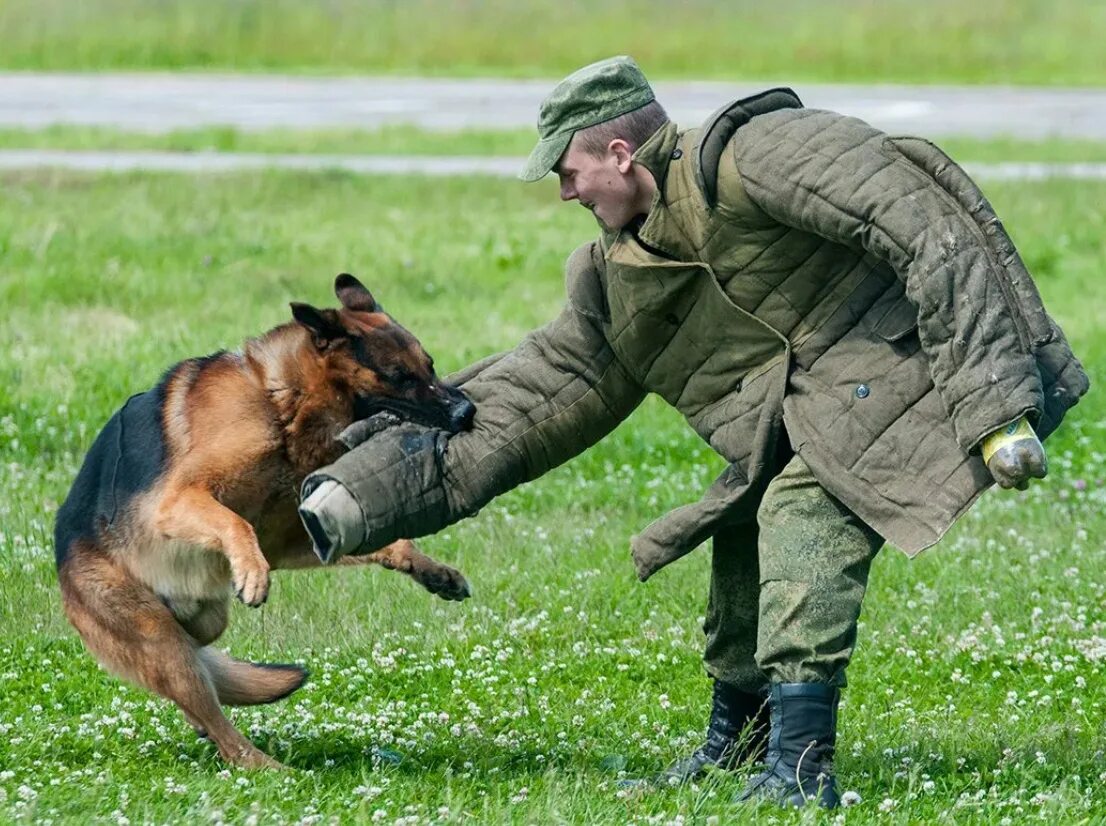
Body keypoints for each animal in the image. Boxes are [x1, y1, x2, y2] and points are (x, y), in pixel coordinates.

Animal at [57, 276, 471, 769]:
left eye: (429, 365)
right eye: (398, 375)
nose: (467, 412)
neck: (281, 403)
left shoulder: (293, 536)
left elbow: (390, 543)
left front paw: (434, 571)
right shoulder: (177, 500)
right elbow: (237, 524)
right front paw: (253, 575)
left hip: (204, 623)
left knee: (204, 678)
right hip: (158, 640)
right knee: (219, 725)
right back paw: (266, 767)